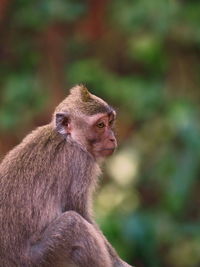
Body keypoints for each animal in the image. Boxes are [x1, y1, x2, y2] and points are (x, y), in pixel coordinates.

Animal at [0, 85, 132, 267]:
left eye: (110, 122)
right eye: (100, 125)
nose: (112, 138)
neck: (69, 138)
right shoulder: (81, 162)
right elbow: (78, 210)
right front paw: (117, 262)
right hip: (39, 257)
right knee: (73, 224)